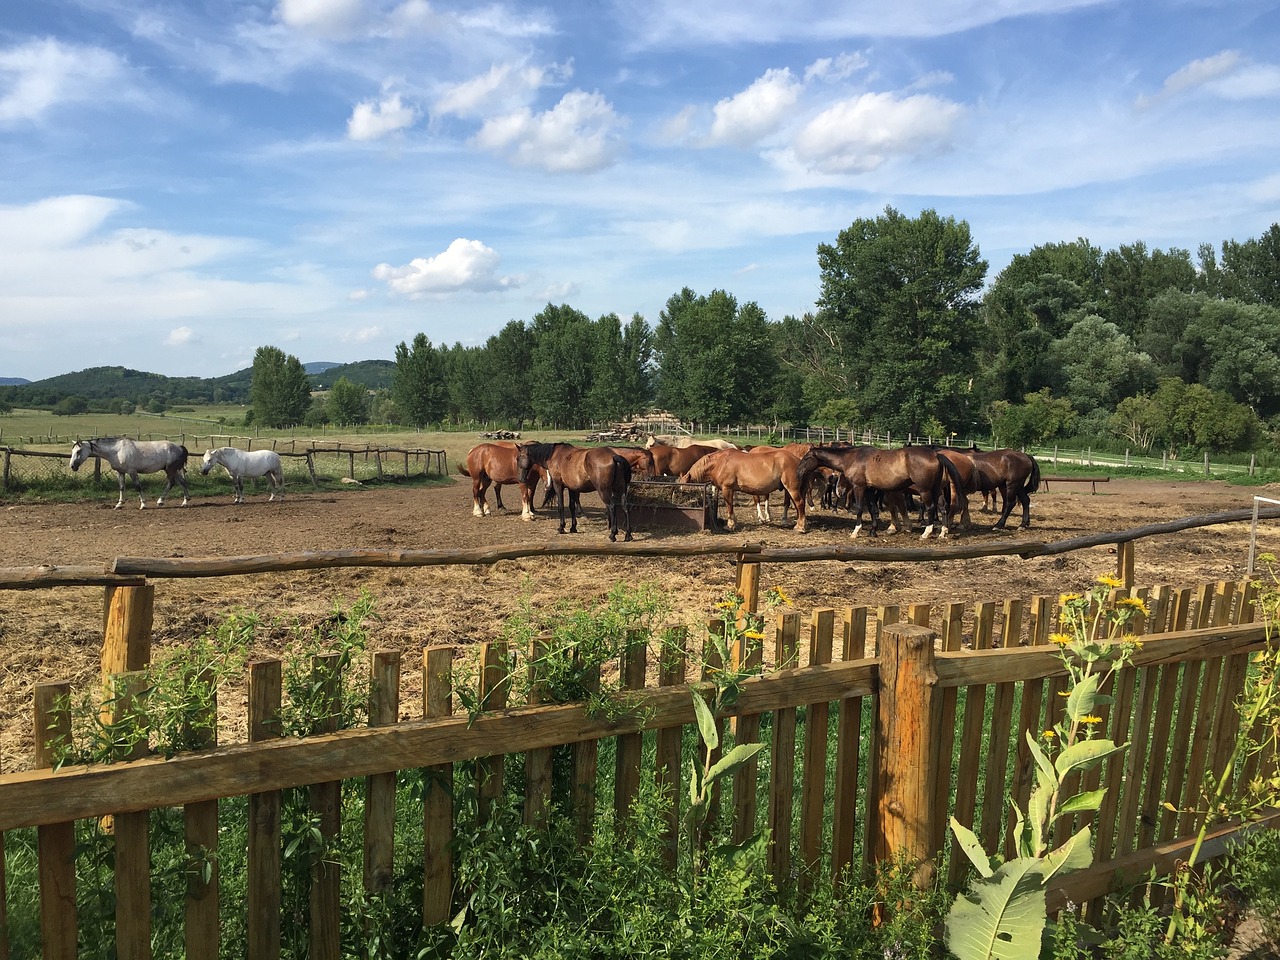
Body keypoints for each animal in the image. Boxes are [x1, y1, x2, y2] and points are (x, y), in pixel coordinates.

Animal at [680, 450, 808, 537]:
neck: (720, 462)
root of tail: (798, 460)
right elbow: (731, 508)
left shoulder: (727, 489)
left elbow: (729, 507)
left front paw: (730, 525)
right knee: (798, 506)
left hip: (792, 489)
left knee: (800, 504)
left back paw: (801, 527)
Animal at [793, 445, 962, 537]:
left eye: (806, 458)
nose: (798, 473)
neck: (852, 458)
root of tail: (936, 455)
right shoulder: (869, 490)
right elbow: (873, 509)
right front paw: (873, 531)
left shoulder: (859, 487)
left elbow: (859, 509)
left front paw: (856, 531)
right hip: (936, 489)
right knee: (943, 507)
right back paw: (943, 532)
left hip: (925, 490)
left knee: (931, 507)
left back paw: (926, 533)